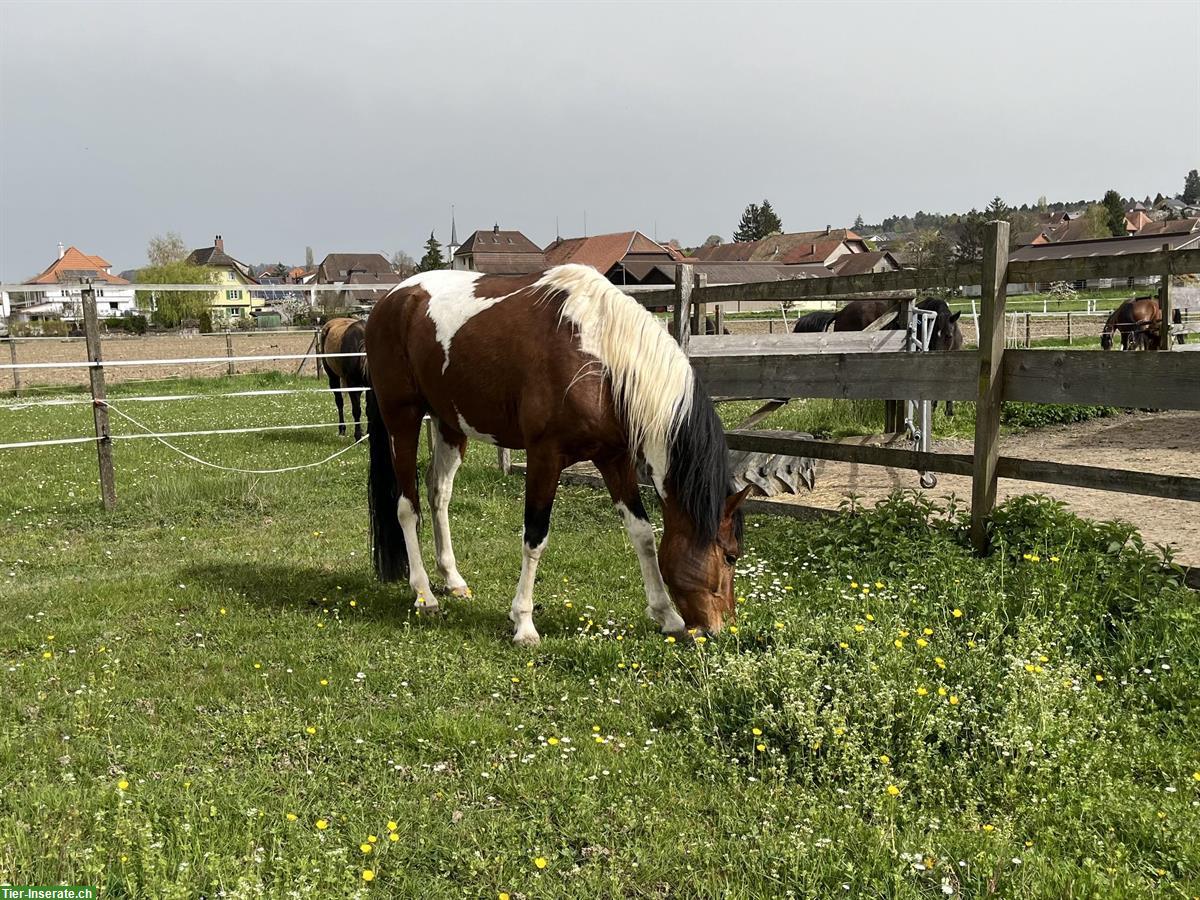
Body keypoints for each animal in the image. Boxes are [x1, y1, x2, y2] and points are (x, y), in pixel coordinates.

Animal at [364, 264, 744, 643]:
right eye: (730, 556)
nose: (719, 629)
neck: (600, 360)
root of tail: (391, 300)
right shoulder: (544, 457)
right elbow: (535, 537)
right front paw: (524, 622)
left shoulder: (614, 458)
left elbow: (643, 534)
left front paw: (666, 615)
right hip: (402, 419)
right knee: (407, 507)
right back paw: (424, 593)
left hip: (449, 425)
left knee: (439, 494)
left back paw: (453, 580)